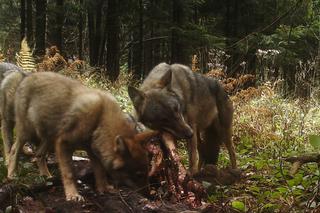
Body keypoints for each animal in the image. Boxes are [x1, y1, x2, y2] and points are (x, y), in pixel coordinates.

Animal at [6, 72, 158, 201]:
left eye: (147, 171)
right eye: (139, 175)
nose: (150, 196)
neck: (99, 119)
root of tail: (26, 76)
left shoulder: (92, 152)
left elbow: (100, 173)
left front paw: (104, 189)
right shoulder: (63, 144)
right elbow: (69, 173)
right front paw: (73, 195)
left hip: (48, 139)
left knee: (38, 154)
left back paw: (46, 176)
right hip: (27, 132)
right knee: (14, 150)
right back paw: (11, 174)